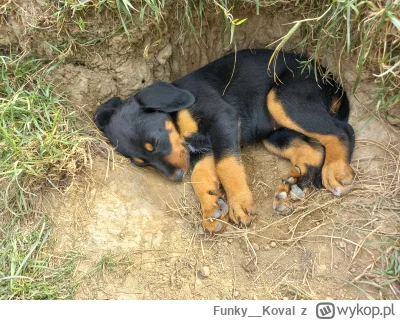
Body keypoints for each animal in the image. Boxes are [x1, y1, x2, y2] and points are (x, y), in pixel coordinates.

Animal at [95, 48, 354, 232]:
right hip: (273, 133)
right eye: (141, 163)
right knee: (314, 150)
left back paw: (336, 171)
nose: (177, 177)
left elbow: (227, 165)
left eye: (155, 143)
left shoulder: (223, 120)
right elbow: (201, 177)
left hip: (283, 99)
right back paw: (292, 188)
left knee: (343, 130)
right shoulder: (204, 149)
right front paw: (211, 209)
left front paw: (239, 202)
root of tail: (328, 75)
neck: (176, 116)